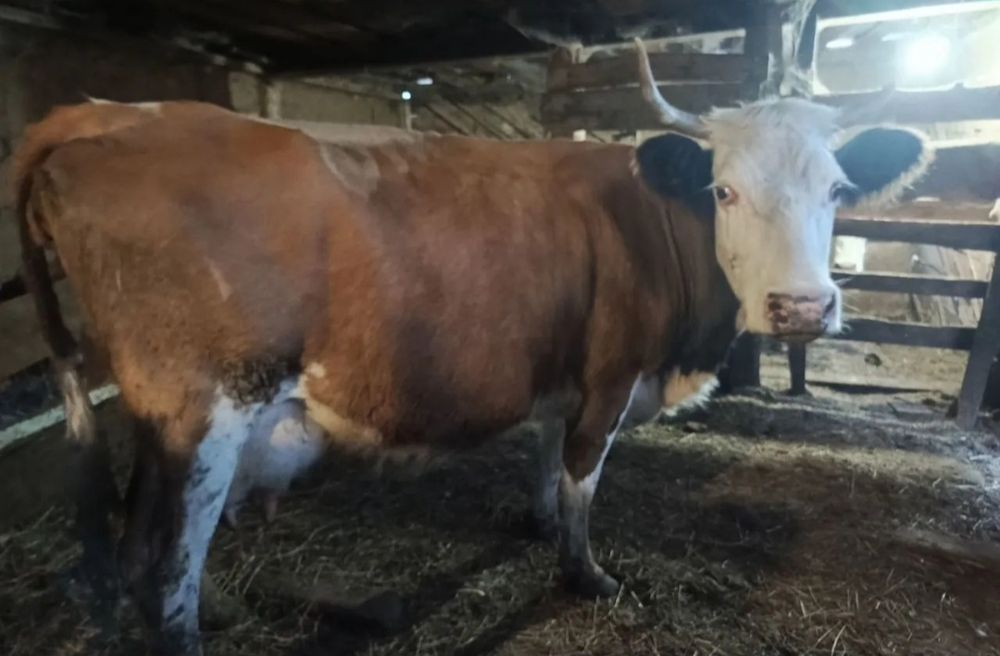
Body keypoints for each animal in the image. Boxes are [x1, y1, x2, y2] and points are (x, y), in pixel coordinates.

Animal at [14, 41, 931, 656]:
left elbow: (545, 460)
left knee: (138, 543)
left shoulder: (561, 372)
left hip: (161, 421)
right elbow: (582, 480)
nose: (801, 307)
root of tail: (103, 111)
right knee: (168, 568)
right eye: (724, 190)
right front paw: (584, 575)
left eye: (839, 189)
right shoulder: (609, 375)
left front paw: (536, 524)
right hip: (207, 411)